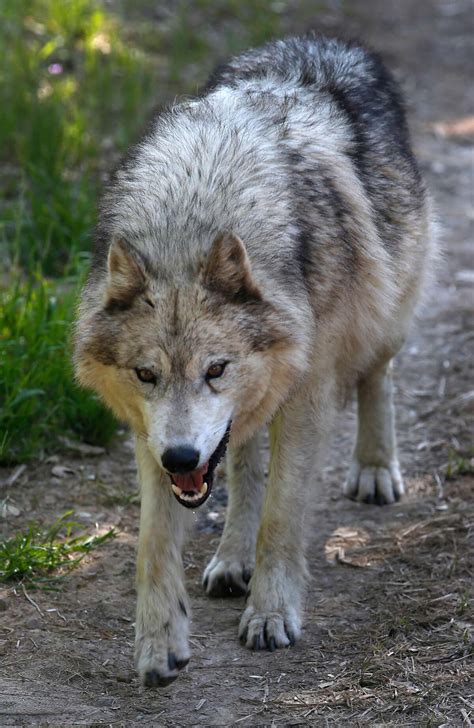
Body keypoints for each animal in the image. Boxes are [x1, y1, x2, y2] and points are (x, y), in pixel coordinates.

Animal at [73, 35, 434, 688]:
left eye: (216, 369)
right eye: (146, 375)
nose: (181, 457)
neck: (194, 212)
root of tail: (319, 39)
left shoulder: (309, 398)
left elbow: (281, 519)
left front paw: (270, 614)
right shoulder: (149, 435)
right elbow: (152, 547)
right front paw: (159, 643)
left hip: (389, 312)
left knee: (378, 375)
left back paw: (374, 469)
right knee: (243, 465)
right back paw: (230, 558)